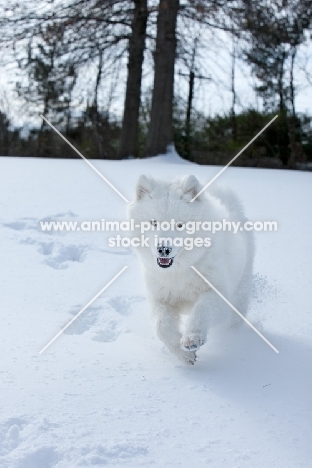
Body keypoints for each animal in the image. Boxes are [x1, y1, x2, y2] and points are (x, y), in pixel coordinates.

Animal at [129, 176, 254, 366]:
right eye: (153, 222)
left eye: (180, 225)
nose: (163, 249)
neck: (179, 272)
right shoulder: (160, 299)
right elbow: (161, 326)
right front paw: (183, 354)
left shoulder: (218, 294)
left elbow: (201, 310)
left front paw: (192, 339)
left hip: (240, 290)